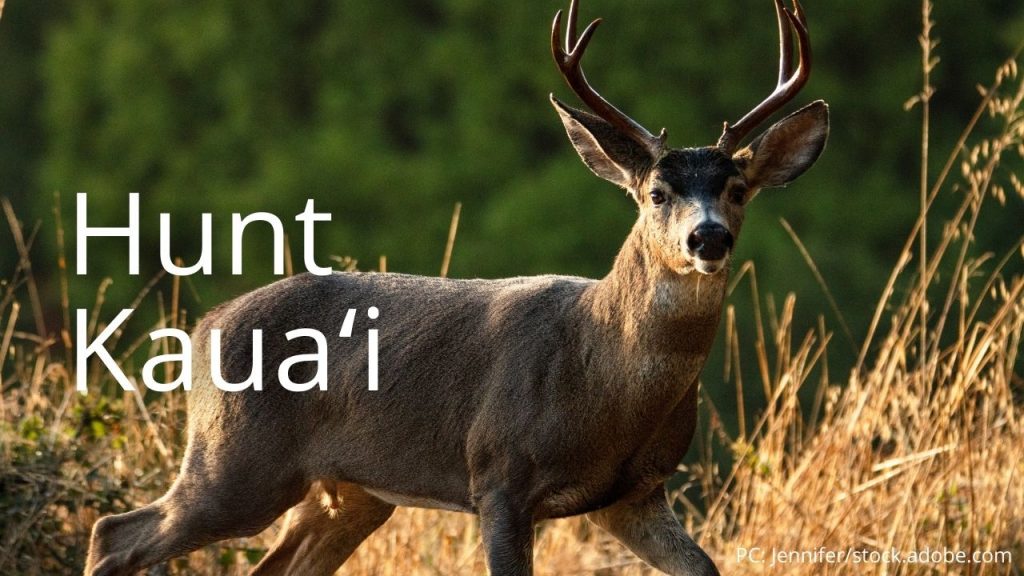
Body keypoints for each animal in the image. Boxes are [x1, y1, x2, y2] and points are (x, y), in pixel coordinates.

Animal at [85, 0, 827, 574]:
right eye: (656, 193)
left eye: (738, 189)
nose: (708, 238)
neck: (603, 378)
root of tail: (204, 326)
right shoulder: (499, 474)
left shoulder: (633, 494)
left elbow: (705, 566)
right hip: (235, 460)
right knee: (113, 534)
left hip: (350, 491)